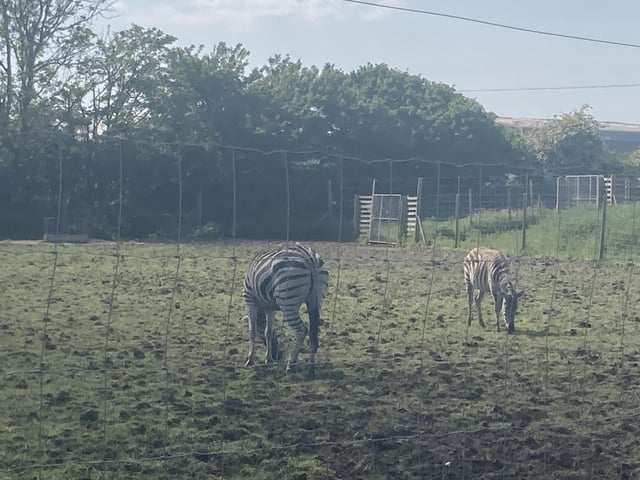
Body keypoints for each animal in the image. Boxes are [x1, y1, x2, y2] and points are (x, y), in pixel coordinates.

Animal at [243, 243, 329, 377]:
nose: (279, 356)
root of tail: (309, 257)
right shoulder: (269, 307)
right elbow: (268, 332)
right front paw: (268, 359)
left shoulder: (250, 300)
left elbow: (252, 331)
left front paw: (250, 360)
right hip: (315, 302)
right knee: (313, 335)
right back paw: (311, 369)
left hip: (288, 301)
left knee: (301, 330)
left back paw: (291, 364)